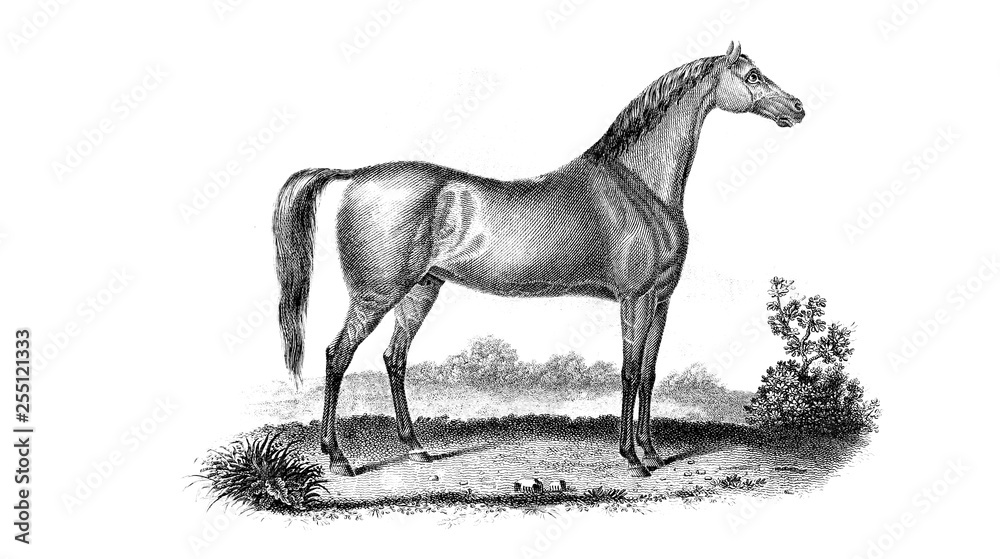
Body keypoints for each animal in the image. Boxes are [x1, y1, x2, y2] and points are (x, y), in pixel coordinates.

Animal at [272, 42, 804, 477]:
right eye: (752, 75)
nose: (798, 108)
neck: (641, 185)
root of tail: (359, 174)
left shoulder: (661, 300)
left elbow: (650, 375)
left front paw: (653, 453)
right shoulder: (633, 299)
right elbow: (630, 372)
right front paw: (633, 458)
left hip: (421, 289)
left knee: (394, 358)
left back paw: (417, 448)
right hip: (375, 295)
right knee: (338, 355)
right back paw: (339, 458)